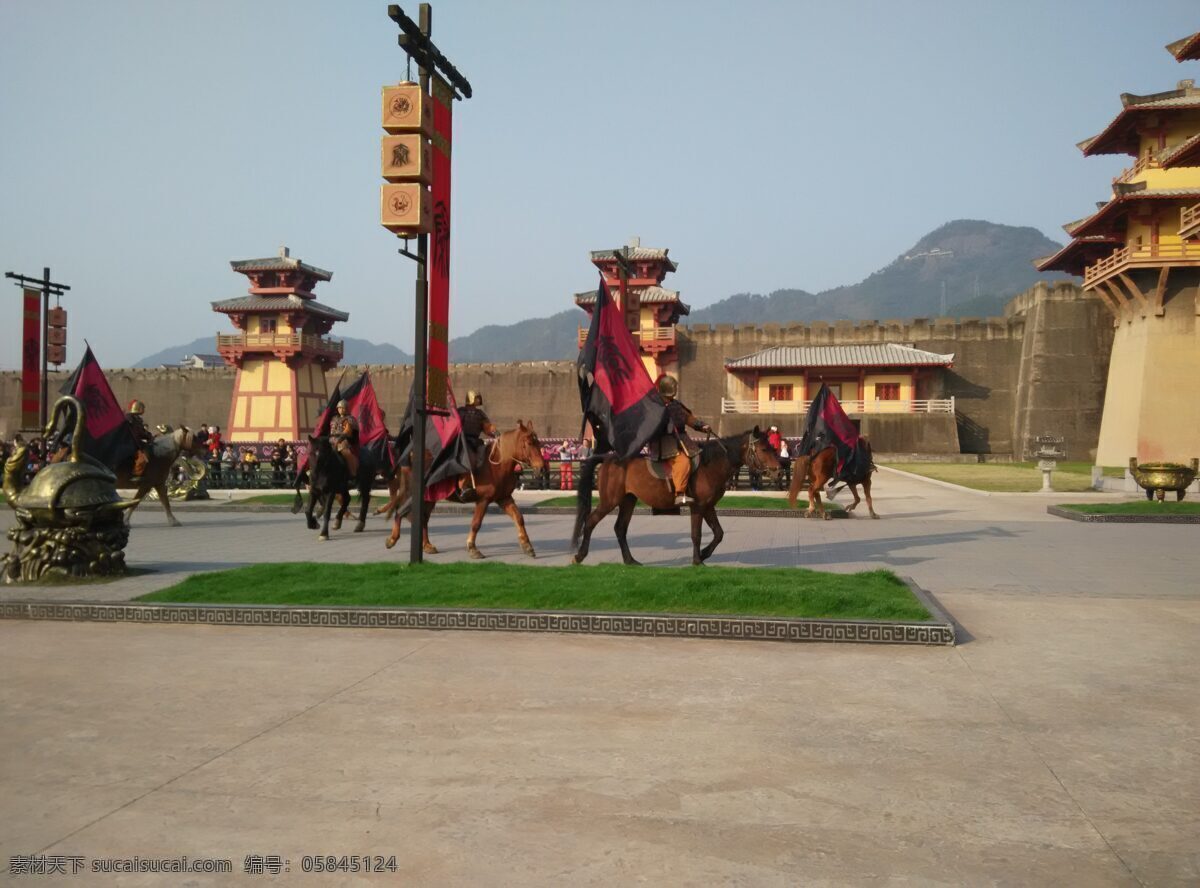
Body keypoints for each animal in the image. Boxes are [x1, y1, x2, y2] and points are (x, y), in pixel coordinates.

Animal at [384, 422, 549, 559]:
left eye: (538, 443)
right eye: (529, 443)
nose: (541, 468)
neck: (496, 465)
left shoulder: (504, 498)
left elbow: (519, 518)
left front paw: (527, 546)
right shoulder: (483, 500)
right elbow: (476, 523)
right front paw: (472, 548)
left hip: (429, 498)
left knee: (422, 518)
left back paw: (427, 545)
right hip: (415, 494)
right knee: (401, 510)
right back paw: (392, 539)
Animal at [568, 427, 782, 566]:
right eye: (764, 449)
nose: (779, 471)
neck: (711, 464)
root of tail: (608, 457)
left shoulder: (708, 506)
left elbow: (718, 533)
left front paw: (704, 554)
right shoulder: (698, 506)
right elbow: (696, 534)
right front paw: (697, 560)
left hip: (628, 500)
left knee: (620, 528)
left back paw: (630, 560)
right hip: (609, 500)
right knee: (591, 521)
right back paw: (579, 556)